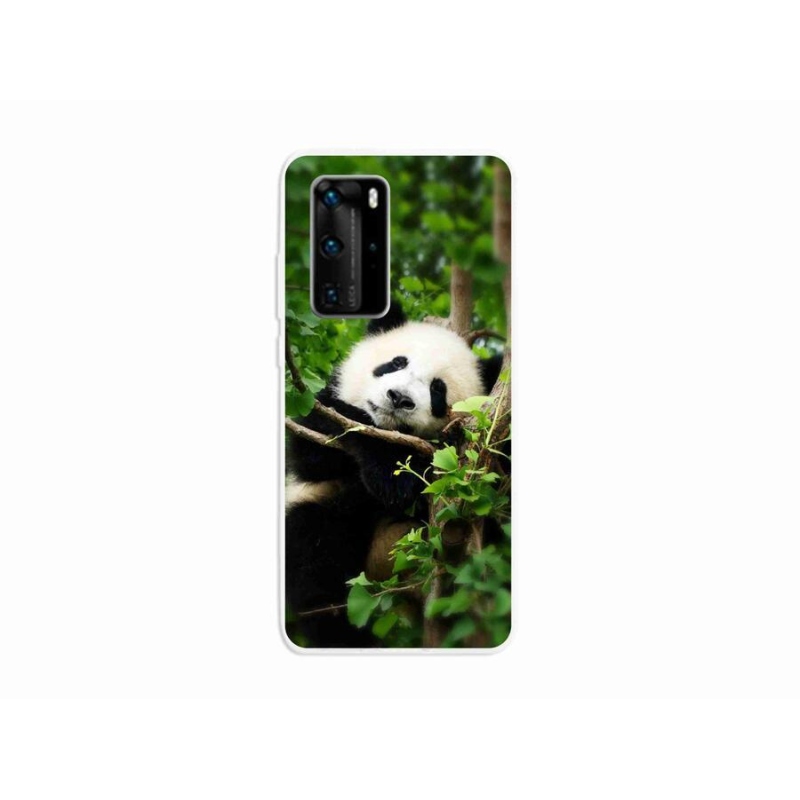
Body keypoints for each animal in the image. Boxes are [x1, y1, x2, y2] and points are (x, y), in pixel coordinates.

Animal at [285, 303, 502, 647]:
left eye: (437, 389)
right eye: (397, 363)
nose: (399, 398)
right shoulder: (316, 416)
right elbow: (317, 450)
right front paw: (393, 473)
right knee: (317, 559)